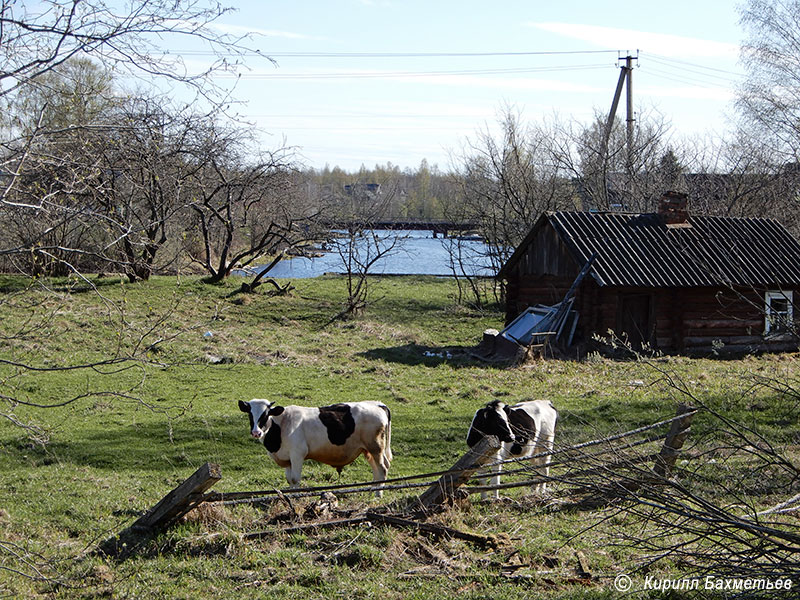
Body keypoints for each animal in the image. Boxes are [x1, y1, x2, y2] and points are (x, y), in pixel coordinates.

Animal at [239, 398, 392, 496]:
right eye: (250, 414)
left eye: (265, 414)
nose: (256, 432)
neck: (282, 425)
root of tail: (377, 404)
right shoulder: (287, 459)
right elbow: (289, 480)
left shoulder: (297, 454)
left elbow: (295, 479)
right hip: (368, 450)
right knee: (376, 469)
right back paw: (372, 492)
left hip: (375, 447)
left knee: (382, 469)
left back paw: (378, 495)